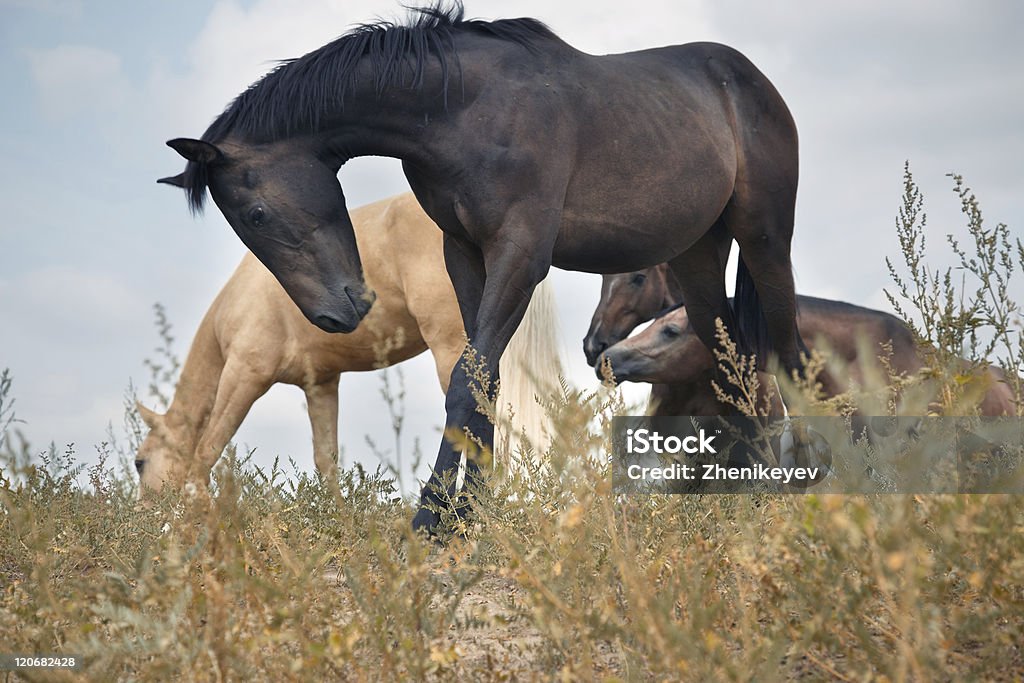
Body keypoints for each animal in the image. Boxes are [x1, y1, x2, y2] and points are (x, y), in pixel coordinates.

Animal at [134, 194, 561, 493]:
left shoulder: (244, 374)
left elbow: (206, 451)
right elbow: (327, 461)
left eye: (140, 462)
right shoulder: (320, 385)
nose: (145, 520)